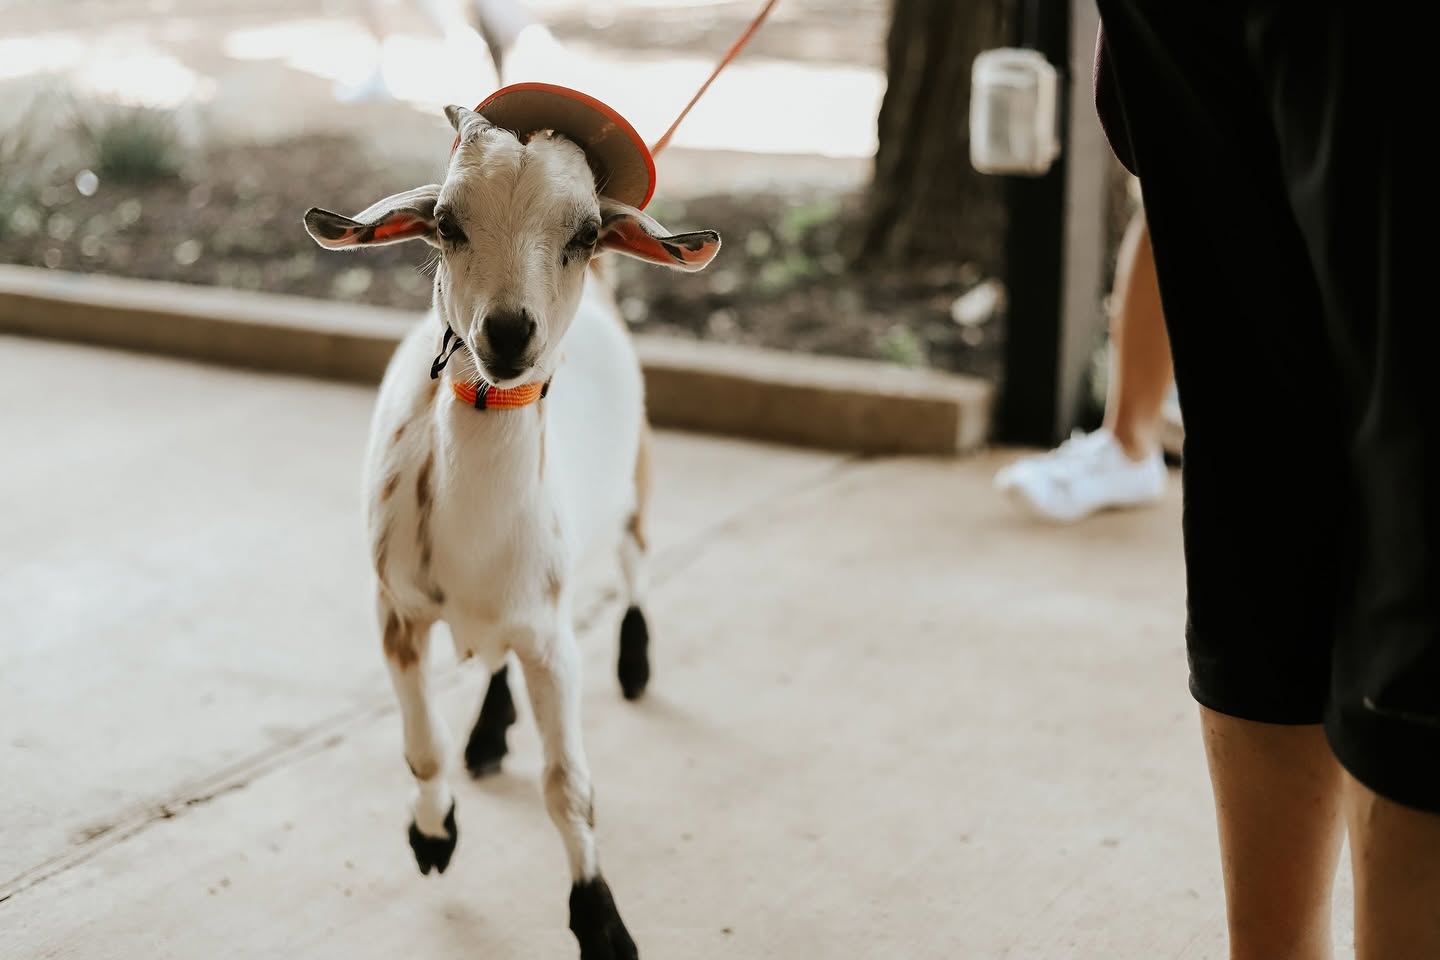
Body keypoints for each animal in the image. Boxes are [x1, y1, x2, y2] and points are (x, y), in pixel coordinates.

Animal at [303, 101, 719, 958]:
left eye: (584, 232)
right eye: (446, 222)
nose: (507, 332)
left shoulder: (554, 640)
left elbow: (570, 789)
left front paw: (601, 921)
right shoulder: (396, 612)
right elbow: (421, 747)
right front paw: (434, 836)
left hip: (636, 481)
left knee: (636, 565)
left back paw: (635, 664)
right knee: (495, 660)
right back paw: (489, 735)